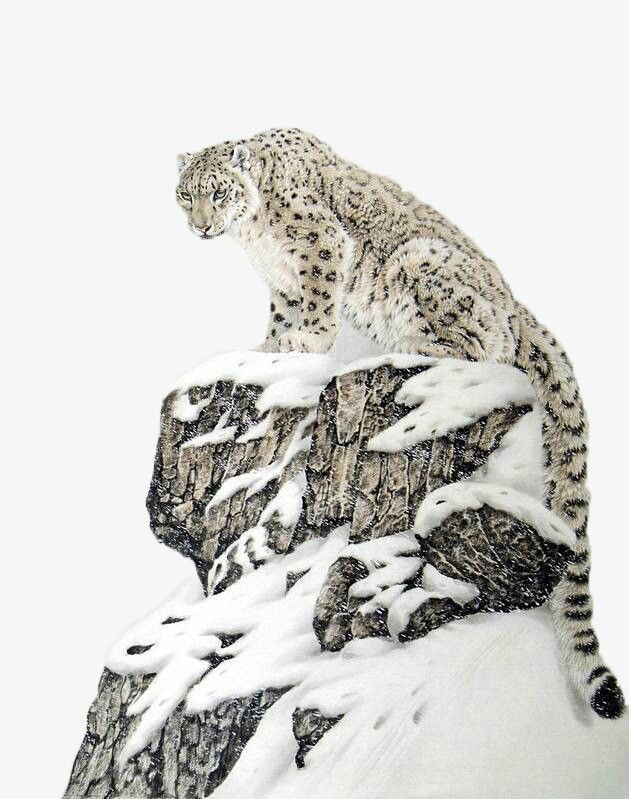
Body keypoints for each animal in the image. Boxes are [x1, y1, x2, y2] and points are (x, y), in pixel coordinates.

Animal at [176, 127, 624, 719]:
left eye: (219, 191)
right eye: (186, 194)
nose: (201, 225)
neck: (256, 237)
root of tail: (518, 307)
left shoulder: (317, 247)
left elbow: (315, 308)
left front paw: (301, 345)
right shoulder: (281, 283)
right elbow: (280, 319)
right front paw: (270, 348)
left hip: (422, 267)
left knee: (473, 346)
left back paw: (408, 346)